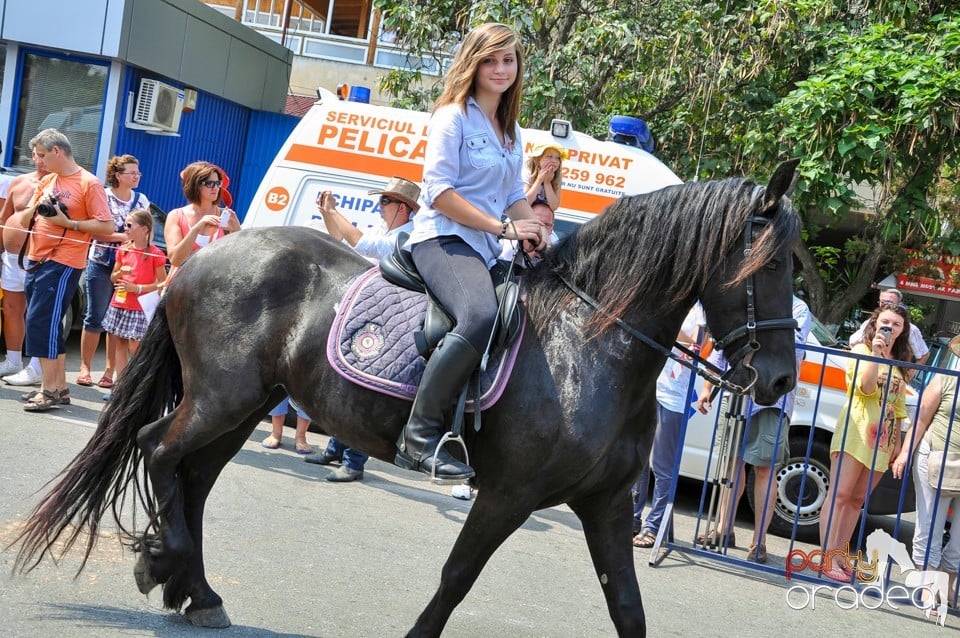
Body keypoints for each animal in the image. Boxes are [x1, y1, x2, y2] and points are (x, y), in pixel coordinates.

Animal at [15, 162, 804, 636]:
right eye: (768, 266)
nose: (779, 384)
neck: (587, 346)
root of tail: (199, 258)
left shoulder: (607, 506)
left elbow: (628, 607)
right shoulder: (508, 494)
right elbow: (456, 578)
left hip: (244, 406)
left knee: (192, 478)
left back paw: (194, 589)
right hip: (220, 399)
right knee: (157, 451)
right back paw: (164, 564)